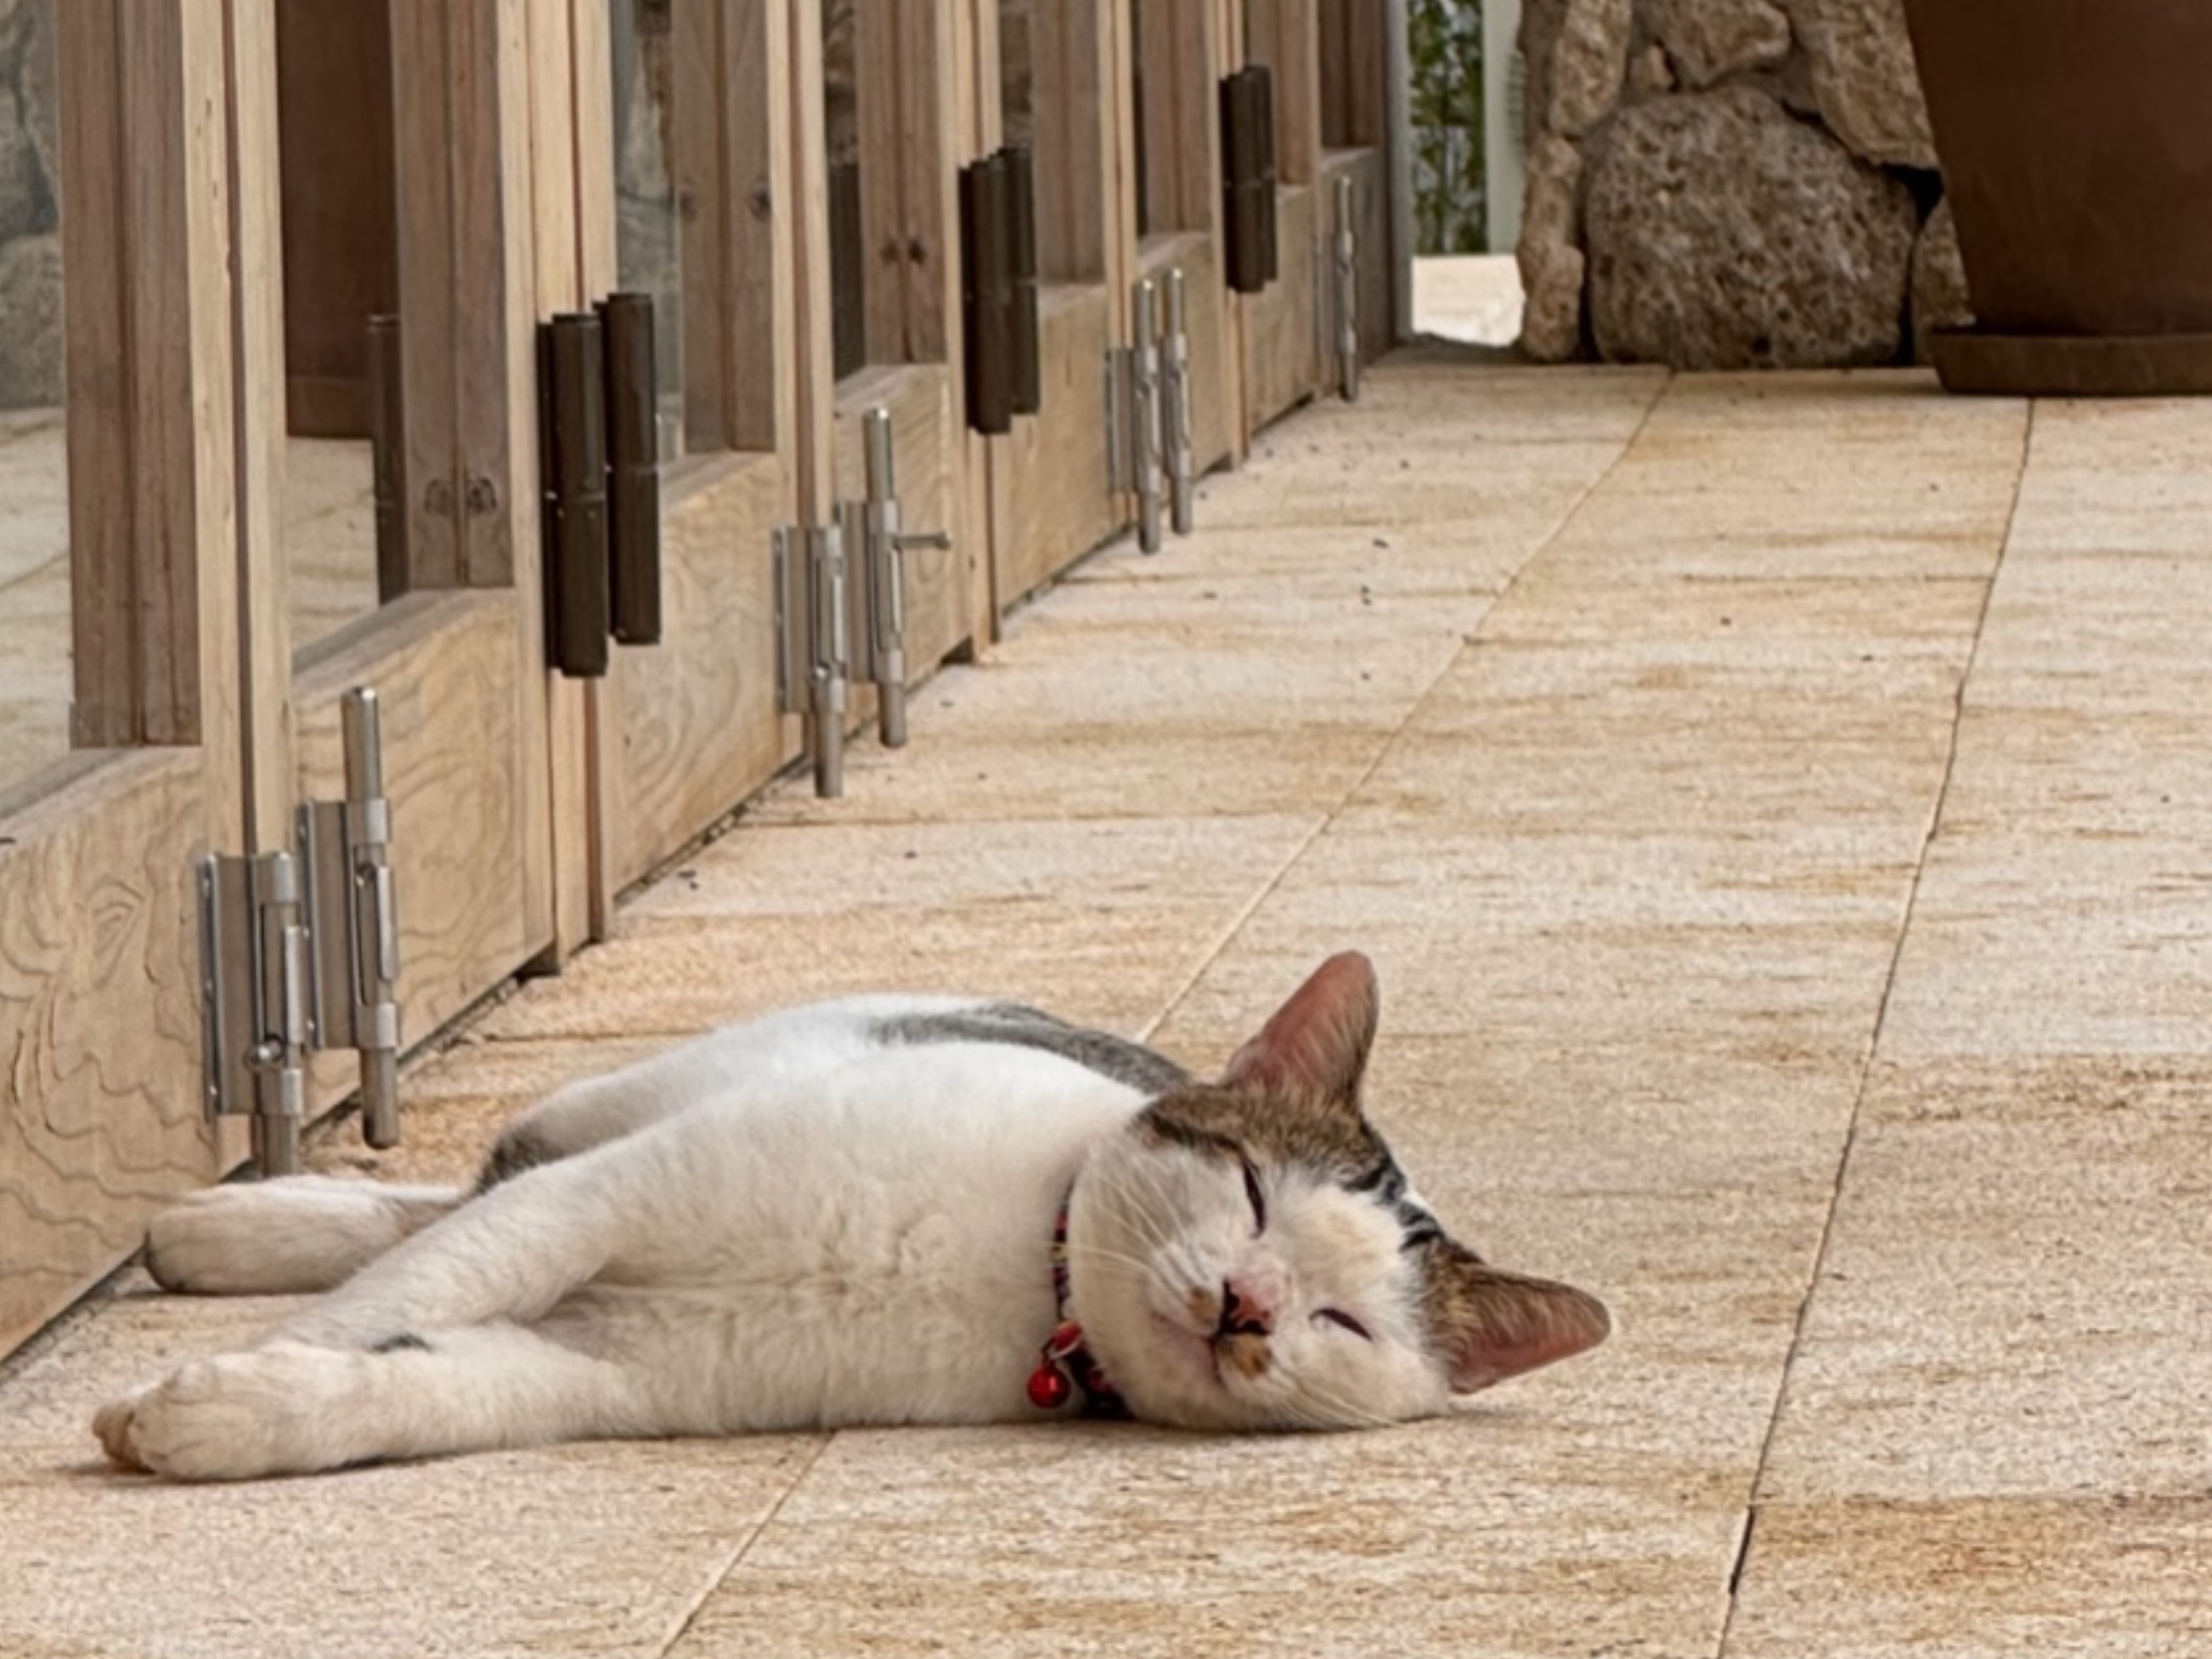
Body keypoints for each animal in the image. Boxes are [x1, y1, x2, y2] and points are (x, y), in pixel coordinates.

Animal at [95, 955, 1610, 1486]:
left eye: (1342, 1323)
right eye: (1248, 1192)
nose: (1246, 1309)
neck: (1022, 1278)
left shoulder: (619, 1370)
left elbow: (420, 1381)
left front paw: (230, 1414)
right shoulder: (618, 1195)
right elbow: (416, 1285)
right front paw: (177, 1395)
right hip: (628, 1098)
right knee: (466, 1186)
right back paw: (228, 1229)